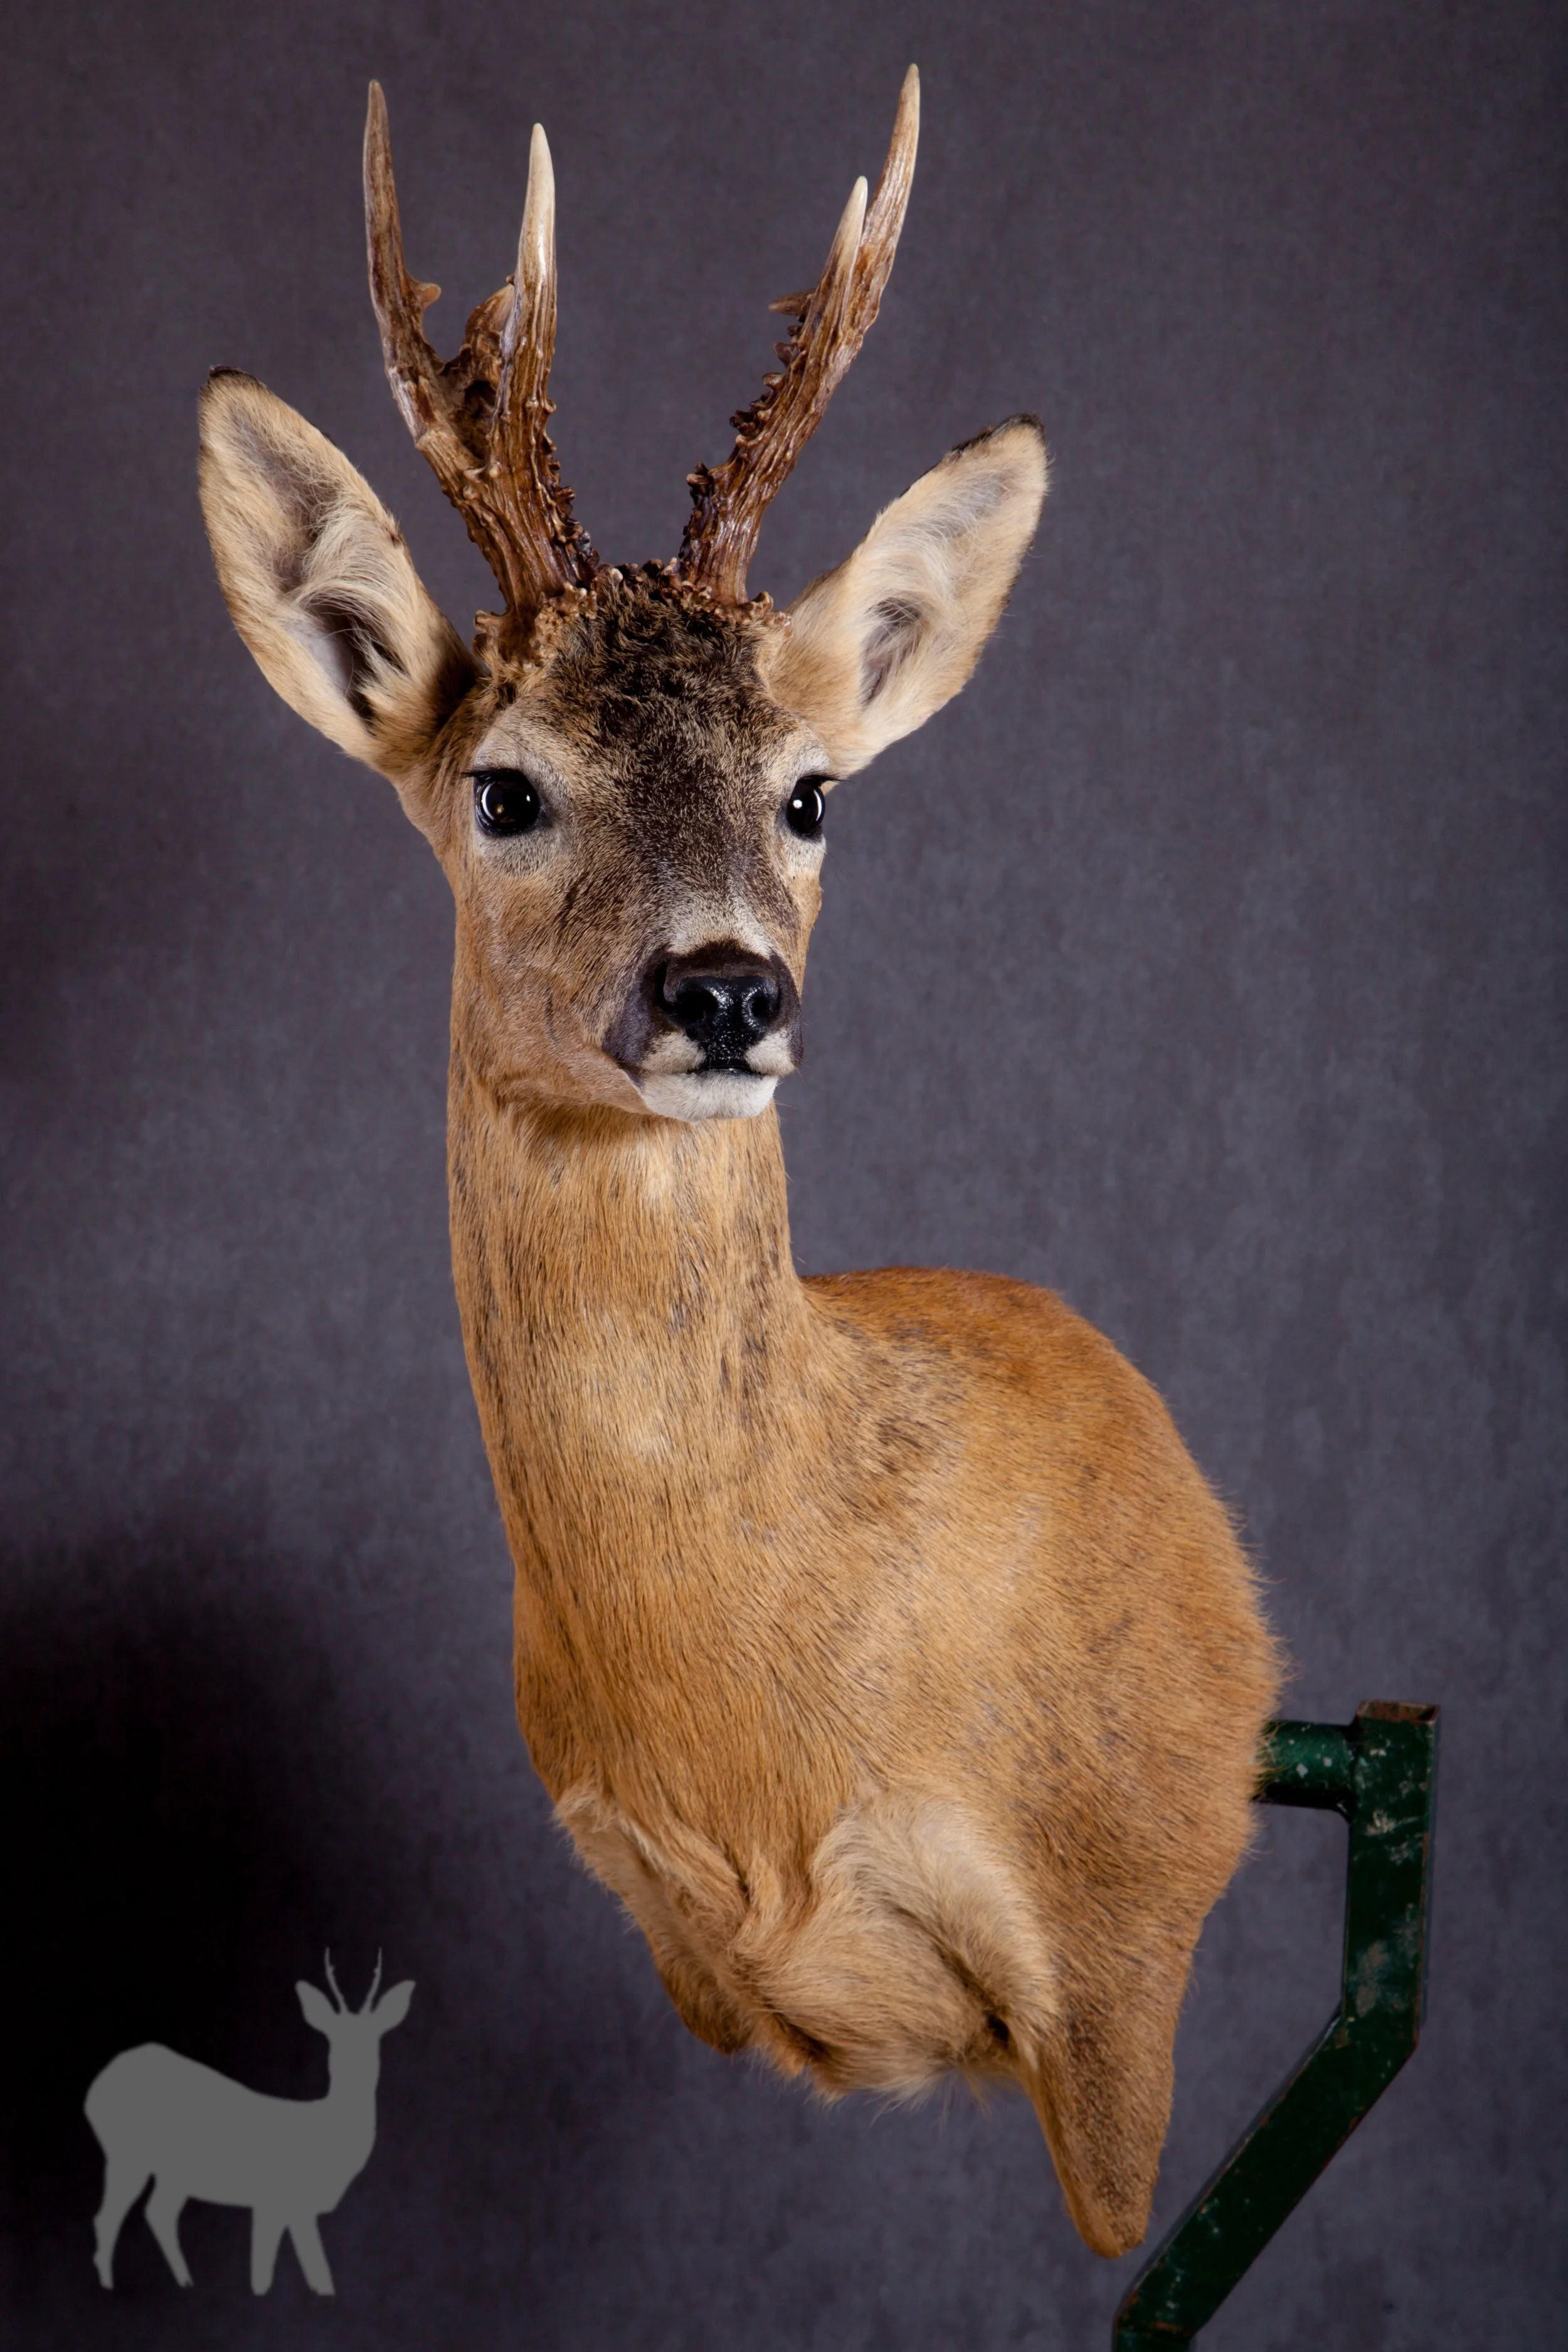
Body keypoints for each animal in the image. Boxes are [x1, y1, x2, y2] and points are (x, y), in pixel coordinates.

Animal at [84, 1955, 413, 2294]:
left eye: (375, 2035)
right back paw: (110, 2285)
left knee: (157, 2213)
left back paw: (186, 2283)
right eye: (334, 2037)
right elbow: (279, 2275)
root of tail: (96, 2087)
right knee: (107, 2218)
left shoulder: (291, 2208)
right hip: (127, 2157)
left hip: (173, 2173)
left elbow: (310, 2275)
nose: (356, 2068)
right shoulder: (278, 2201)